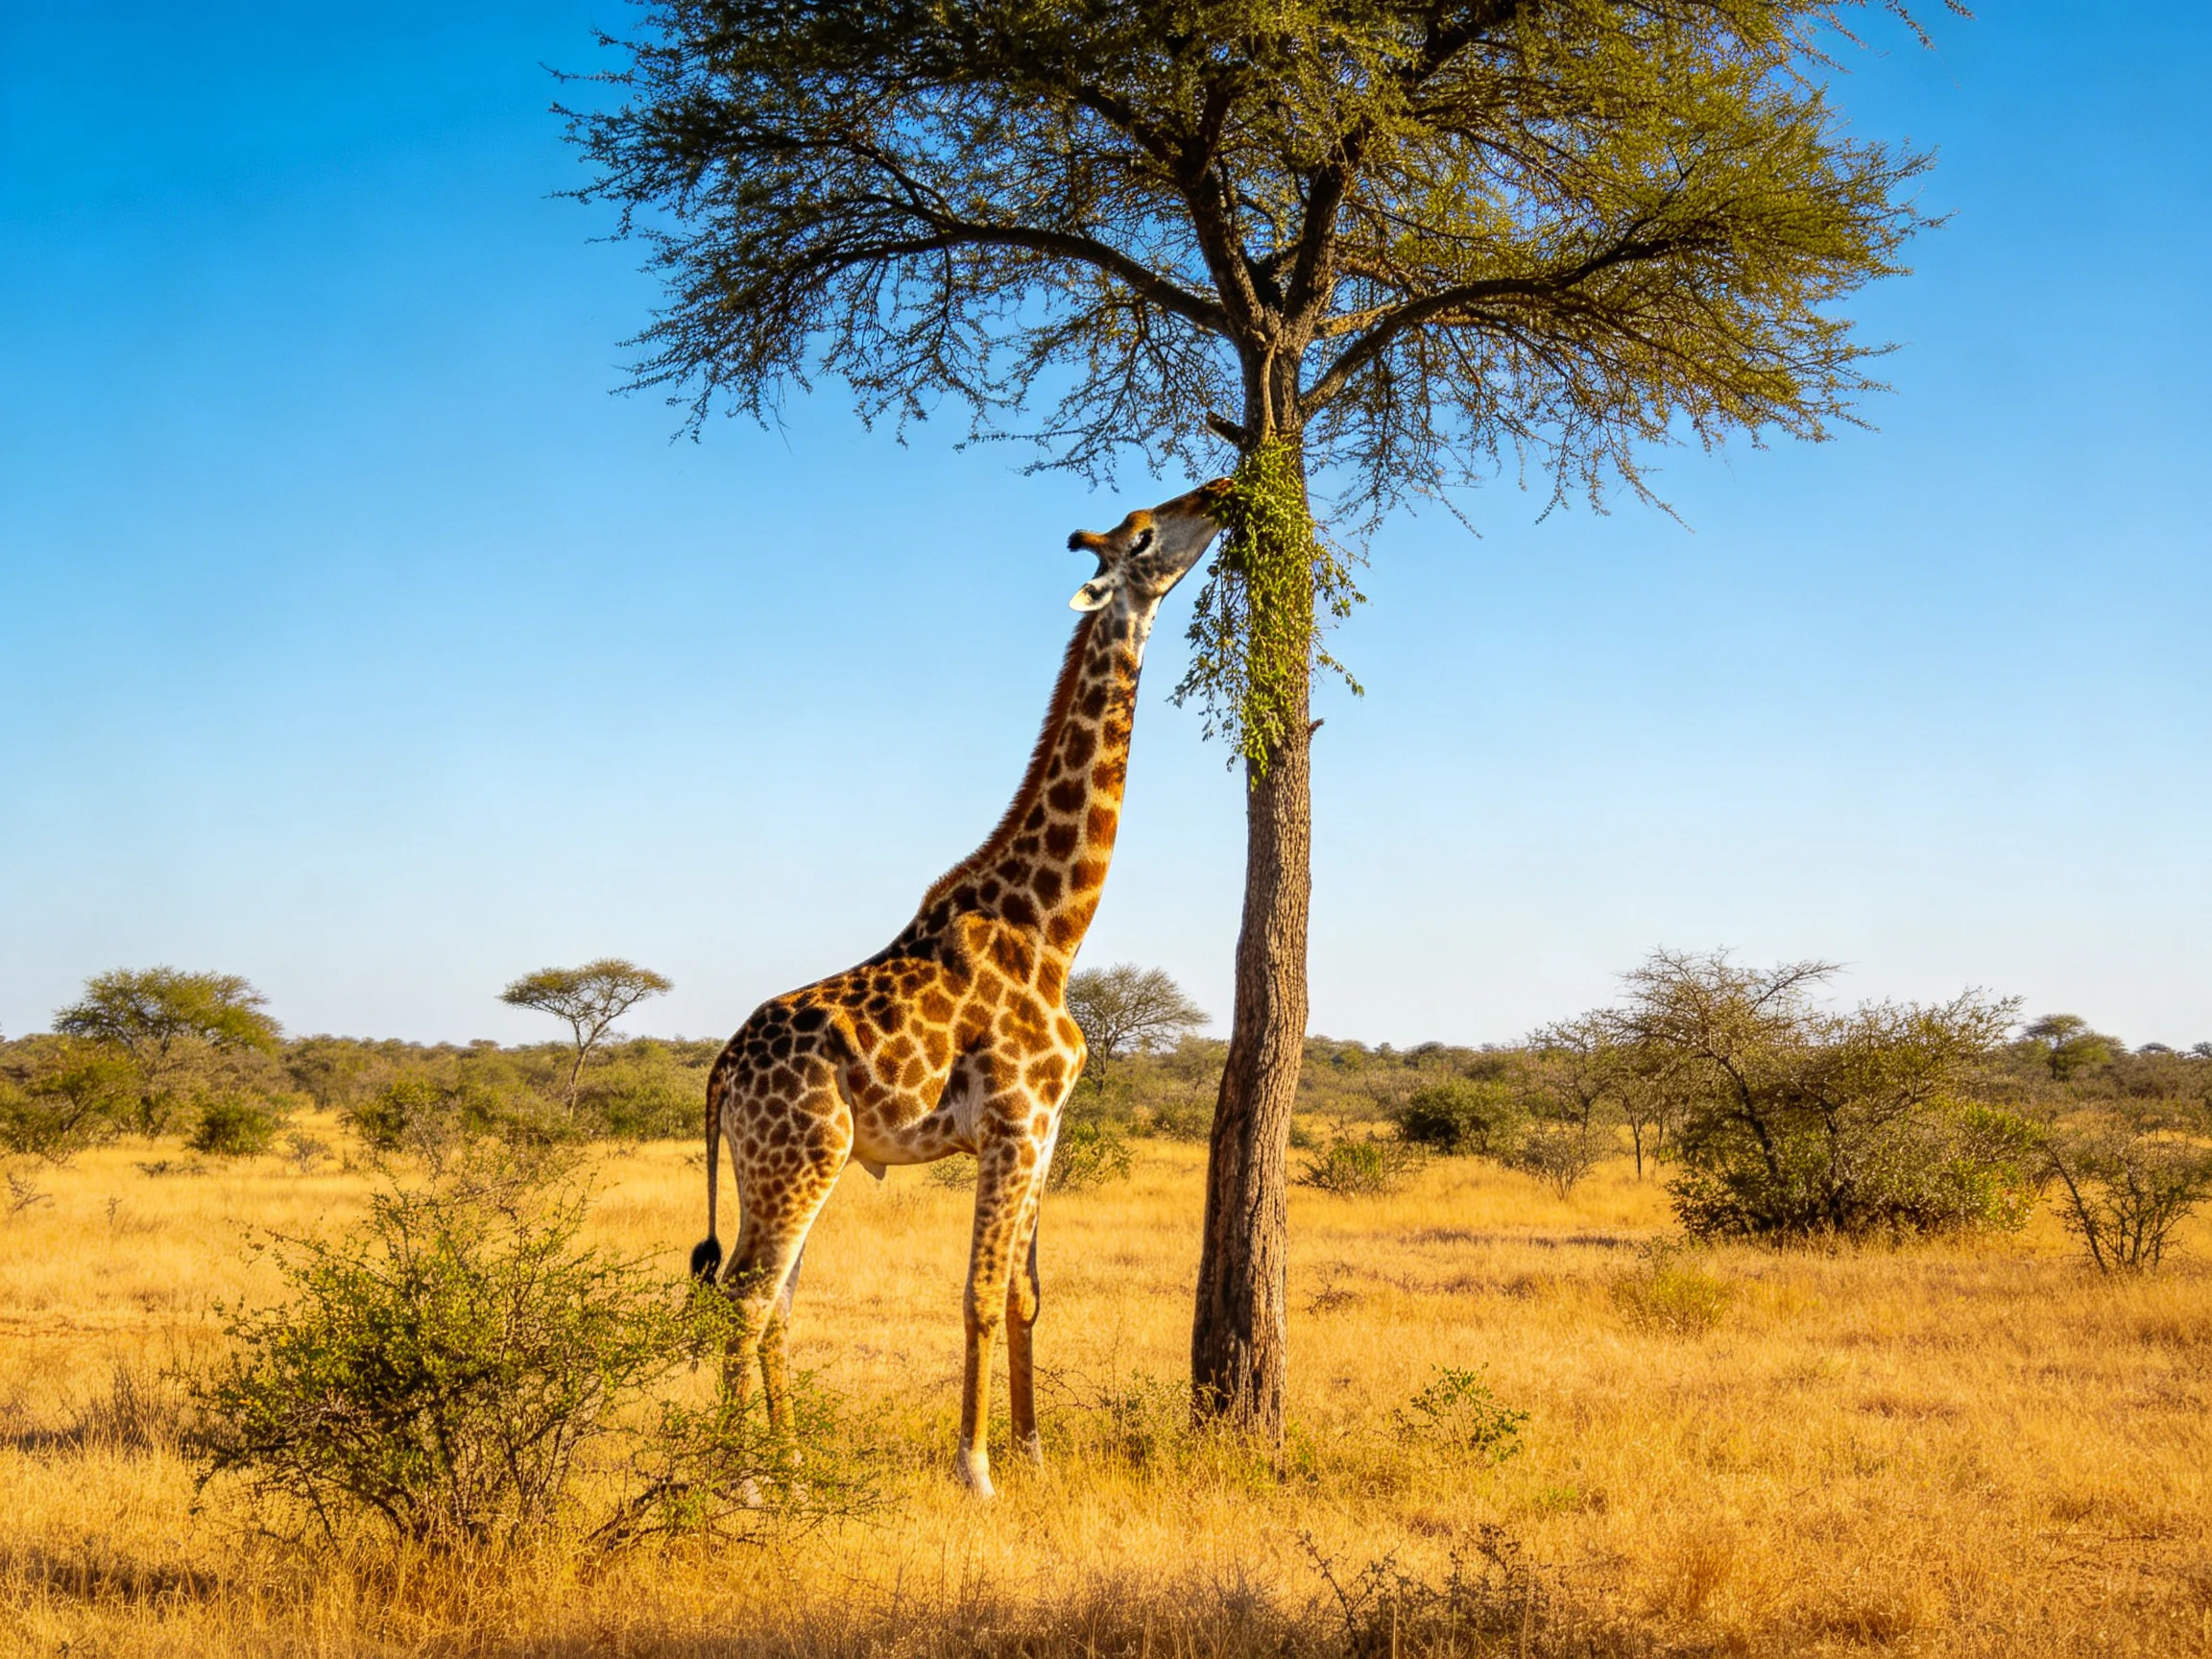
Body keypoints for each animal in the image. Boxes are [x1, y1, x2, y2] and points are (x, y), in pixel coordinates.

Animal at [693, 478, 1231, 1498]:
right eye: (1146, 537)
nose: (1221, 492)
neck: (1052, 929)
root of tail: (719, 1073)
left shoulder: (1047, 1130)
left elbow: (1023, 1294)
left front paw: (1034, 1453)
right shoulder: (1013, 1123)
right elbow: (980, 1294)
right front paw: (975, 1469)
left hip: (776, 1162)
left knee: (771, 1298)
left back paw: (793, 1468)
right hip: (800, 1156)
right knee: (742, 1299)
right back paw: (741, 1482)